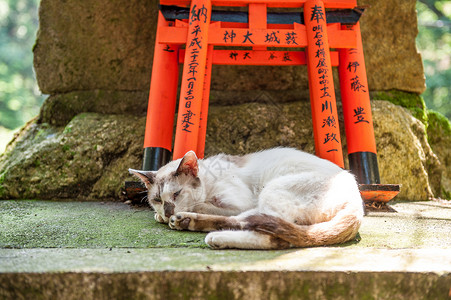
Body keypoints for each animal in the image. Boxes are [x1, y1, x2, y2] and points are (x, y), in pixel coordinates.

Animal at [129, 146, 366, 250]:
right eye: (157, 200)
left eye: (176, 194)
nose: (168, 210)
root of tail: (358, 202)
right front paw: (162, 216)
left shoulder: (237, 203)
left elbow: (203, 204)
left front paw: (174, 215)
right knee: (253, 223)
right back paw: (188, 222)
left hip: (270, 191)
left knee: (270, 236)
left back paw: (208, 233)